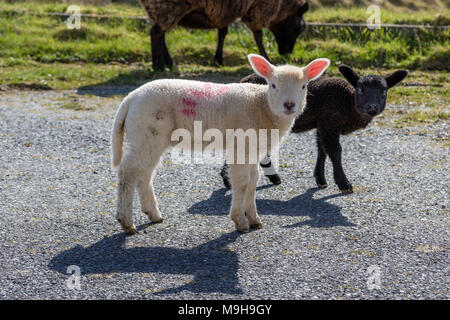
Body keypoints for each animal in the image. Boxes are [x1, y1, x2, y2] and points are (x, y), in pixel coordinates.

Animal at [111, 53, 330, 234]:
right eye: (273, 85)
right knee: (128, 174)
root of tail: (130, 98)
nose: (289, 105)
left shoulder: (252, 148)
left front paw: (254, 219)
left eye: (304, 87)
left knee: (145, 175)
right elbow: (241, 183)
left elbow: (253, 180)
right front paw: (240, 221)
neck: (262, 106)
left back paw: (153, 214)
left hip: (150, 137)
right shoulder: (241, 145)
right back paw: (126, 223)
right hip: (146, 132)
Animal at [221, 65, 408, 192]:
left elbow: (322, 150)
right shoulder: (330, 122)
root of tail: (241, 82)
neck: (348, 101)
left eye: (384, 91)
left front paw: (321, 179)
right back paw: (230, 180)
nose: (372, 107)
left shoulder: (322, 123)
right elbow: (334, 151)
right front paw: (344, 184)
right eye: (360, 89)